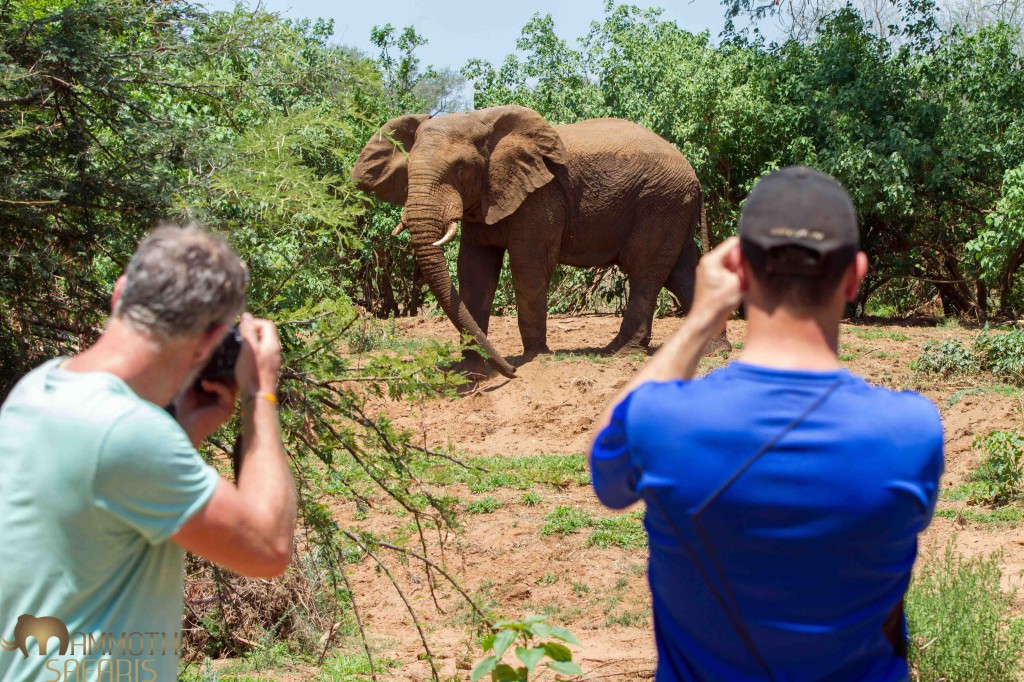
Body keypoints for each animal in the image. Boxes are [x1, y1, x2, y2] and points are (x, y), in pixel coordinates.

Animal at [352, 105, 726, 378]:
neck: (484, 124)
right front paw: (470, 367)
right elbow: (474, 270)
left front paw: (534, 357)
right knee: (682, 272)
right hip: (672, 207)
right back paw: (715, 351)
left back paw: (617, 352)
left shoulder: (539, 197)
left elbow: (527, 265)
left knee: (646, 272)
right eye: (408, 171)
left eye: (460, 169)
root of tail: (694, 175)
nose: (510, 372)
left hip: (659, 203)